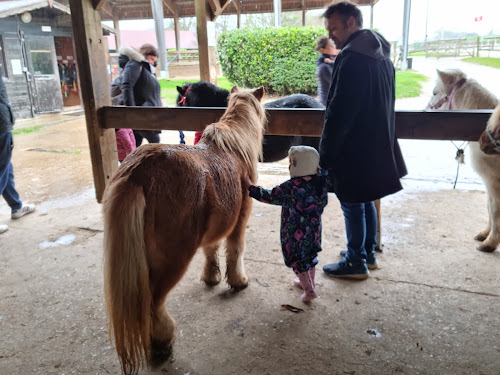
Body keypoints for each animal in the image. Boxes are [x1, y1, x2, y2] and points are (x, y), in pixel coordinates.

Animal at [103, 86, 268, 375]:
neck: (233, 149)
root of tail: (138, 173)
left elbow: (211, 248)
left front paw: (212, 276)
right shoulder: (239, 221)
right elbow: (235, 249)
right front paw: (238, 281)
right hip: (172, 261)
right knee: (152, 304)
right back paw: (162, 343)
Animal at [426, 70, 500, 253]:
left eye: (435, 93)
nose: (425, 109)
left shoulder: (493, 181)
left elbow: (495, 209)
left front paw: (490, 243)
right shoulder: (488, 182)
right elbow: (489, 206)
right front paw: (484, 234)